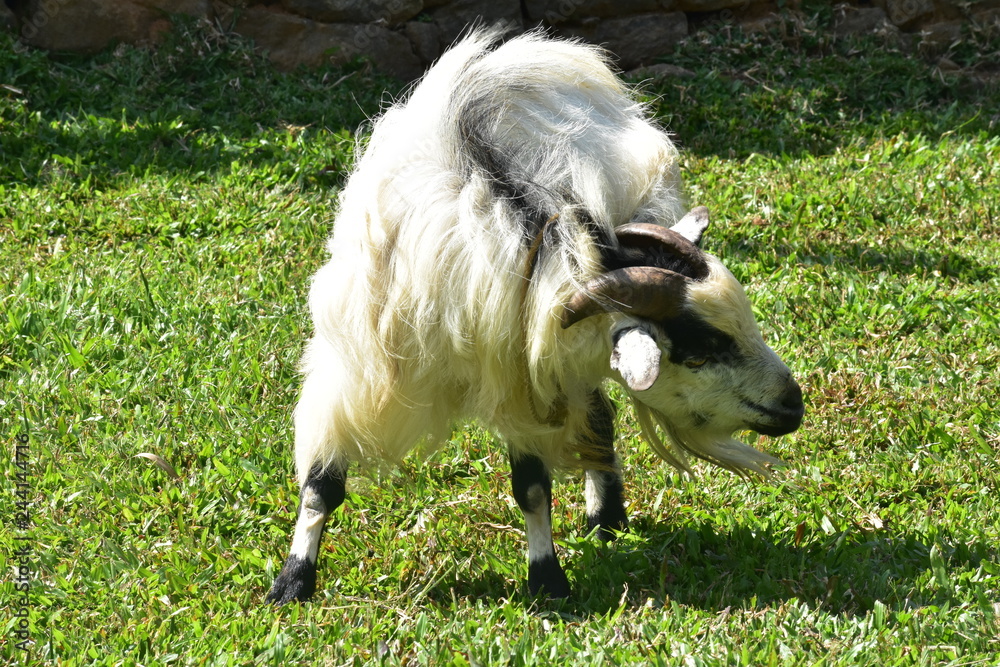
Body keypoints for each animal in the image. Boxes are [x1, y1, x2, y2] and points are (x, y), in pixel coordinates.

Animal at [266, 29, 804, 604]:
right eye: (699, 354)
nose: (793, 405)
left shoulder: (527, 382)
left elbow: (530, 485)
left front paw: (547, 581)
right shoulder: (356, 373)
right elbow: (322, 485)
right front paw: (292, 582)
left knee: (599, 419)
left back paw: (606, 517)